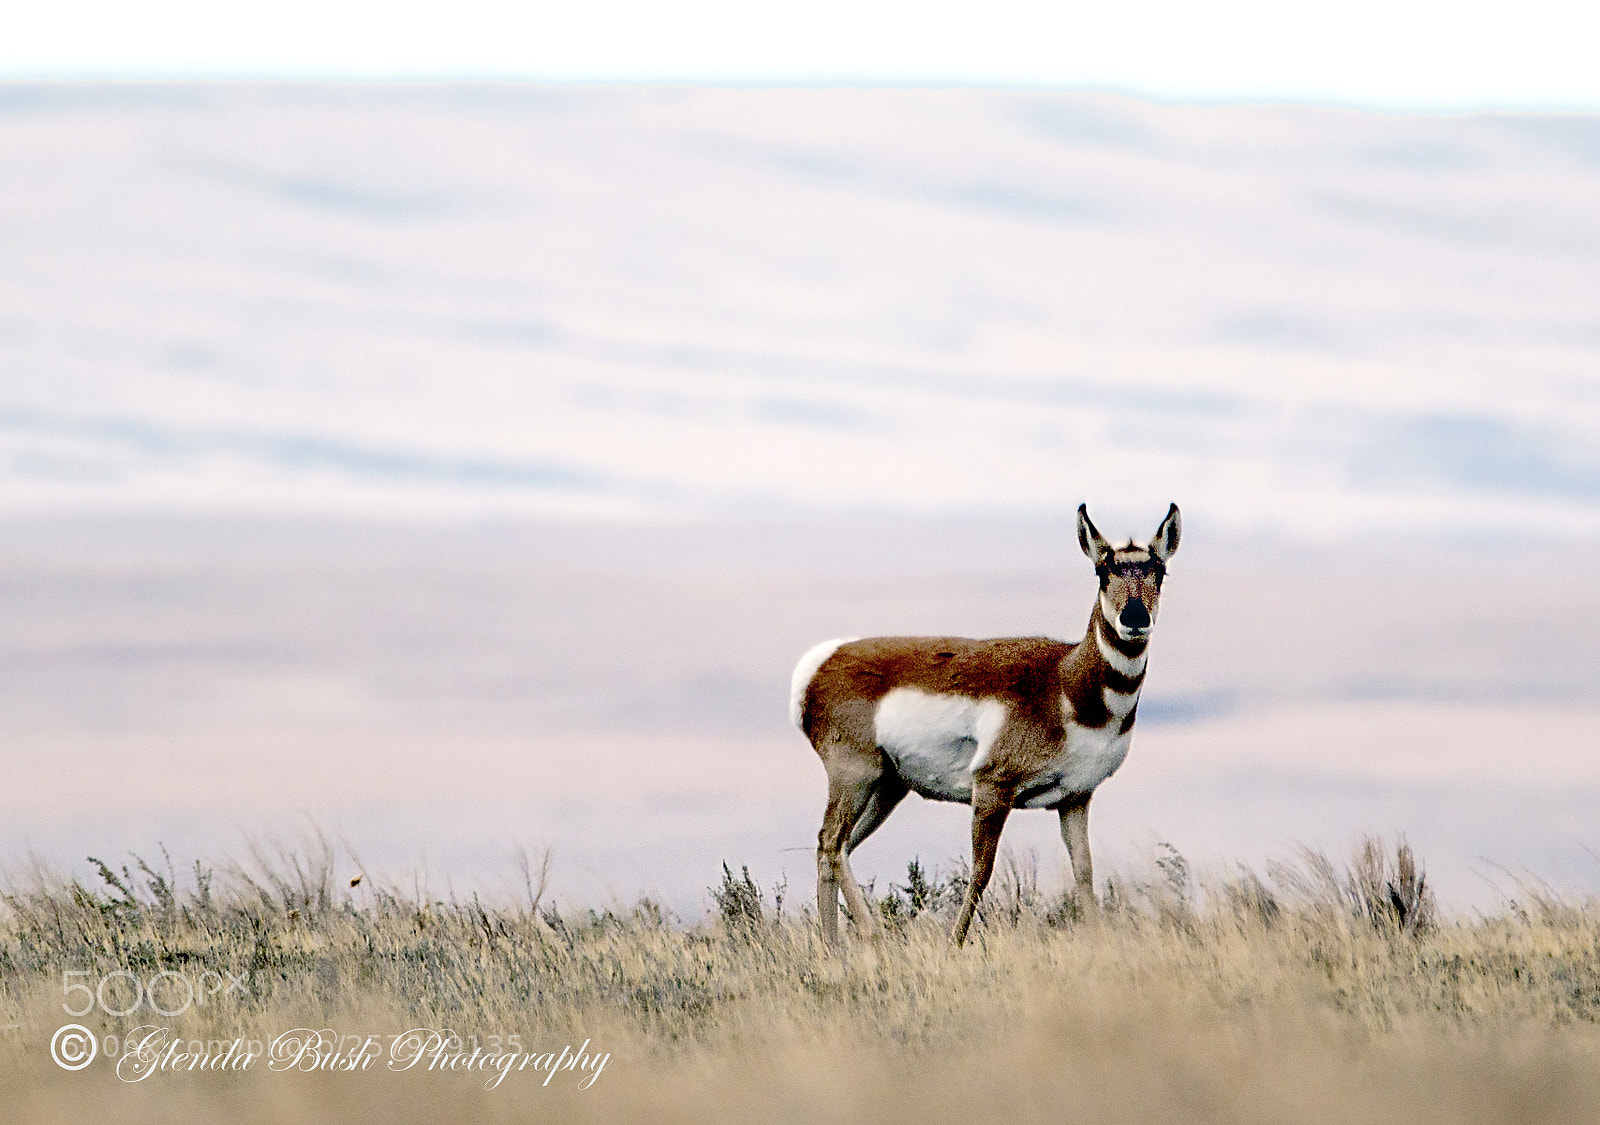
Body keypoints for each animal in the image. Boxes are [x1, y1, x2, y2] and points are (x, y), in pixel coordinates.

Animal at [791, 504, 1181, 947]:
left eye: (1159, 571)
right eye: (1103, 571)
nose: (1135, 617)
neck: (1064, 683)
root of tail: (824, 660)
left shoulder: (1075, 798)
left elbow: (1084, 872)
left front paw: (1099, 945)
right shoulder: (993, 789)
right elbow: (981, 872)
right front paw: (953, 945)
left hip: (887, 787)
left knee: (837, 849)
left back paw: (835, 947)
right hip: (855, 777)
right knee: (831, 844)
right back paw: (868, 935)